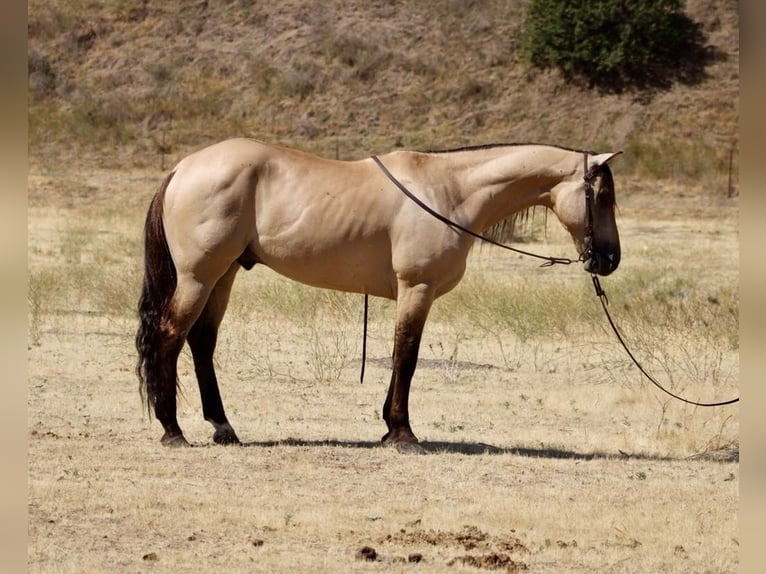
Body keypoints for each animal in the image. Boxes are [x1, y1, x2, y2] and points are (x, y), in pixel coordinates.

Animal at [135, 138, 621, 448]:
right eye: (602, 196)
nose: (609, 260)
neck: (450, 192)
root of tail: (182, 168)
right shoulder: (416, 288)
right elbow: (406, 355)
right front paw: (402, 433)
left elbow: (401, 356)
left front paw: (389, 427)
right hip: (199, 276)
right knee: (169, 337)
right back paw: (172, 430)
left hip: (224, 274)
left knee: (201, 342)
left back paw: (223, 427)